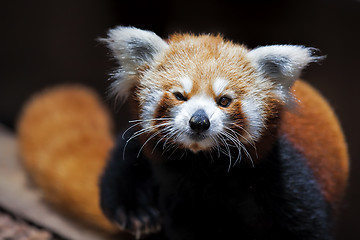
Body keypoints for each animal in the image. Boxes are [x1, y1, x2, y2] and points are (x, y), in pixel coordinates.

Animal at [17, 26, 348, 240]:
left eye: (224, 100)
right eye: (179, 95)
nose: (198, 121)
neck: (202, 166)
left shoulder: (283, 175)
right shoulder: (176, 189)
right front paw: (140, 215)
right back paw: (137, 214)